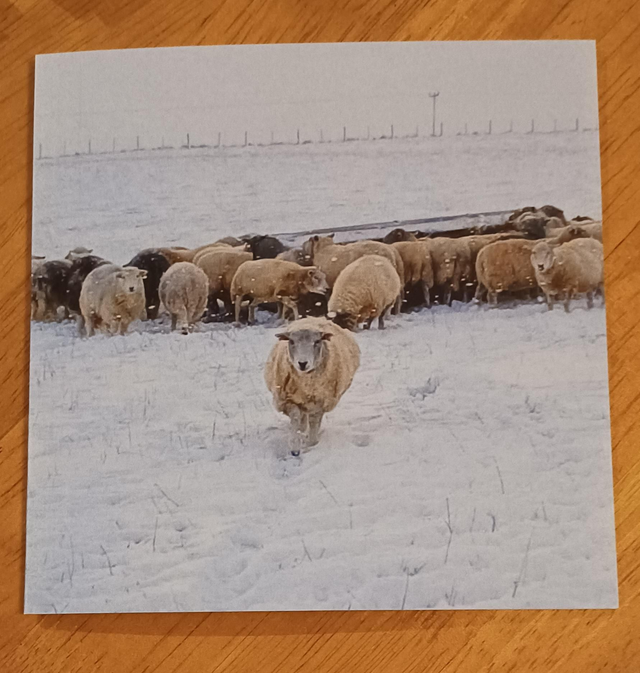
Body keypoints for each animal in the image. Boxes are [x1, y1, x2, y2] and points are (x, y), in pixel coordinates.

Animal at [264, 316, 360, 453]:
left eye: (317, 341)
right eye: (291, 341)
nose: (302, 363)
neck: (306, 383)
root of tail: (314, 318)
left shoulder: (320, 403)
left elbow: (314, 424)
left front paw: (311, 443)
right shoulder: (287, 400)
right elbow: (295, 417)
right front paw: (294, 445)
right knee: (302, 417)